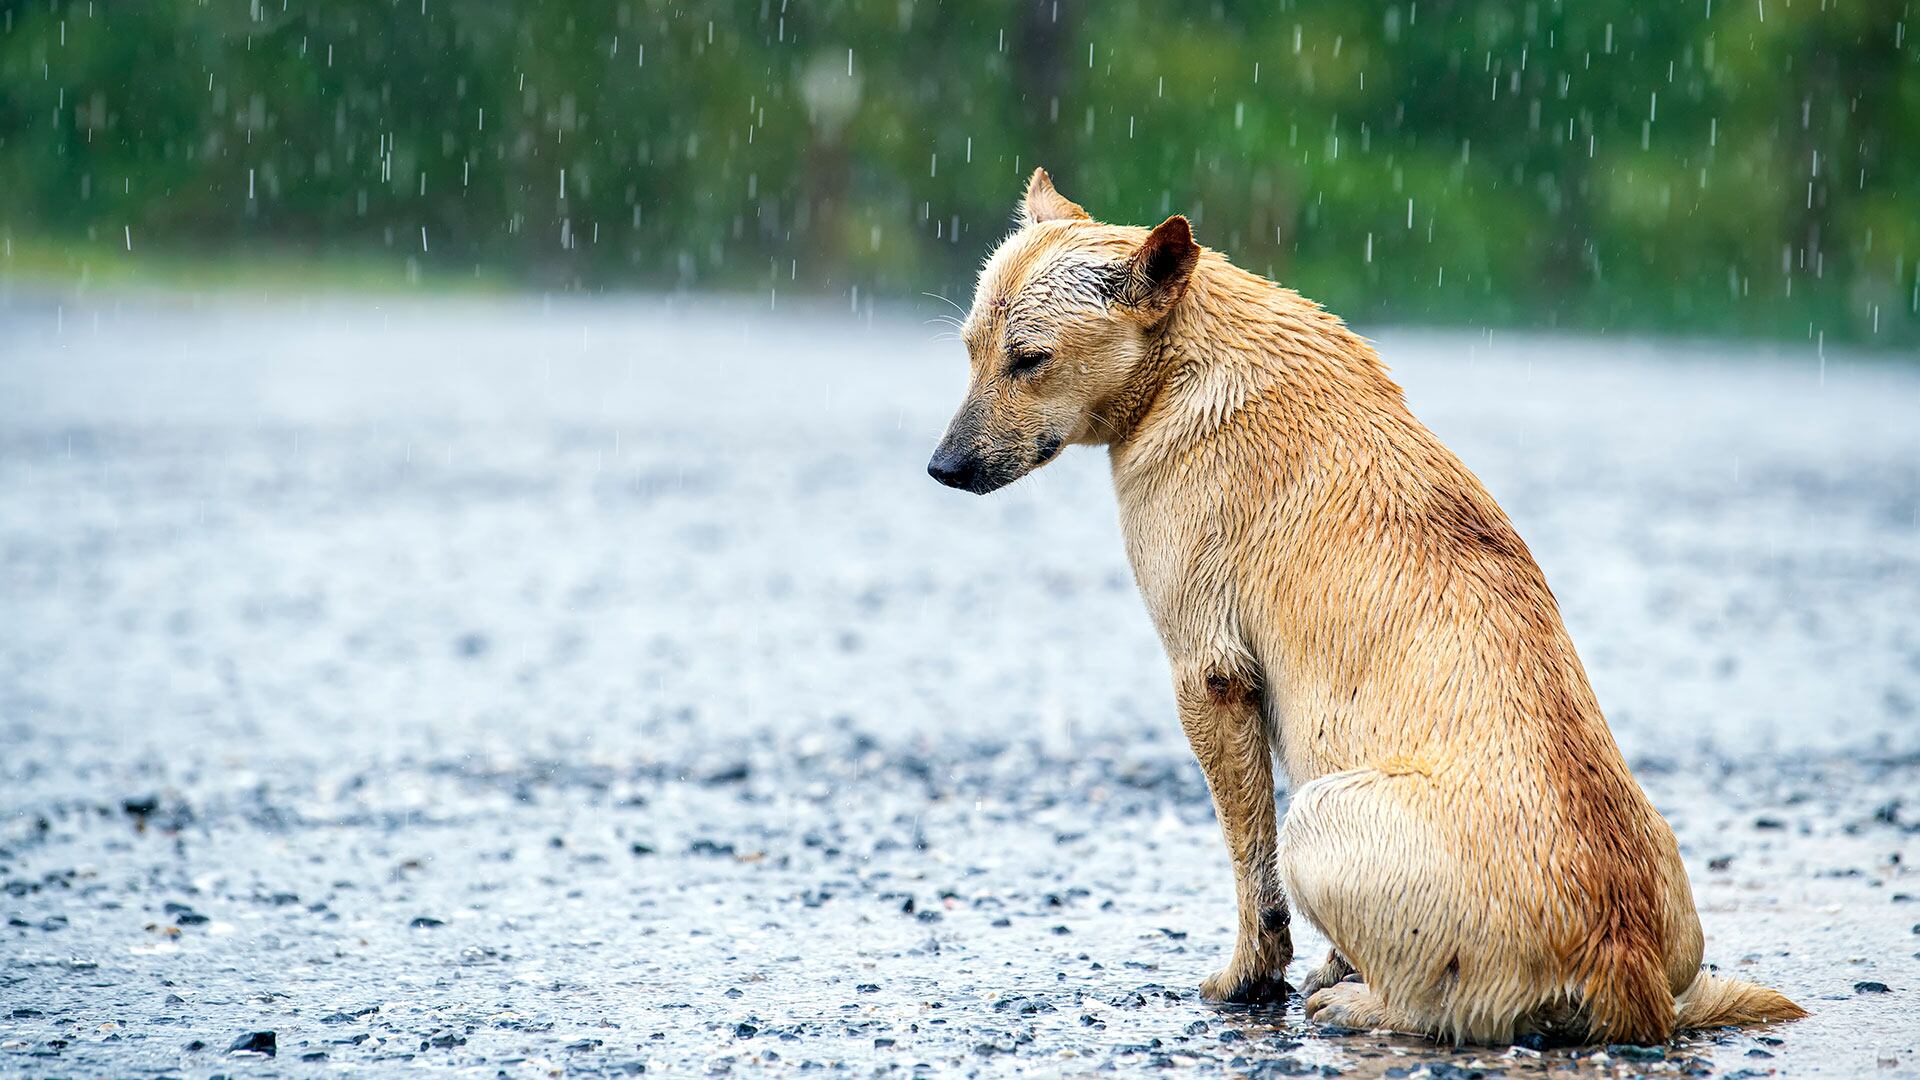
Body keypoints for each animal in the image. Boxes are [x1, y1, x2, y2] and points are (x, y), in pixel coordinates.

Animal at [921, 170, 1804, 1045]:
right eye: (967, 350)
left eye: (1030, 360)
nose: (941, 468)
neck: (1187, 361)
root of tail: (1626, 963)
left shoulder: (1209, 676)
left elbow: (1251, 865)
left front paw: (1249, 979)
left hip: (1319, 815)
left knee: (1432, 1007)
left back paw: (1355, 1005)